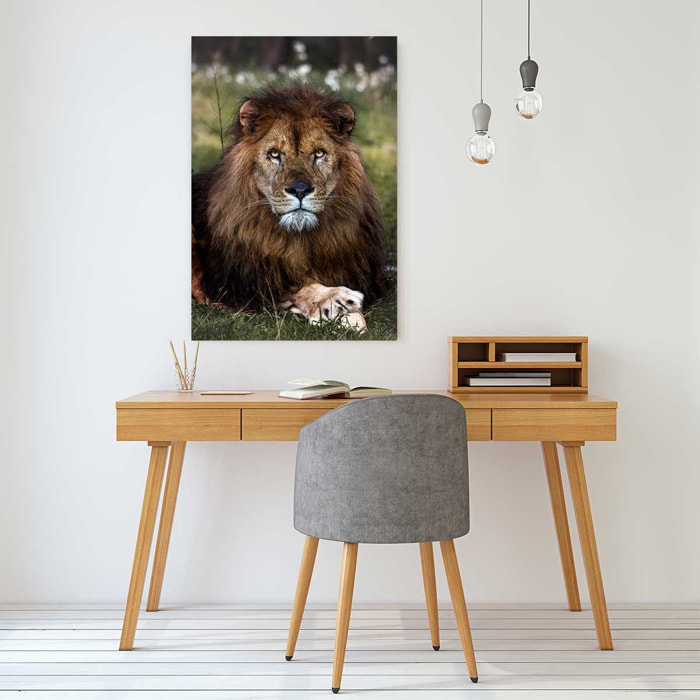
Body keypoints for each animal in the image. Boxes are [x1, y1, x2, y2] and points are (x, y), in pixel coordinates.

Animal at [191, 84, 388, 331]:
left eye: (319, 153)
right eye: (275, 154)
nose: (300, 190)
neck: (299, 238)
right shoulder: (232, 283)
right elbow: (295, 286)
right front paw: (335, 302)